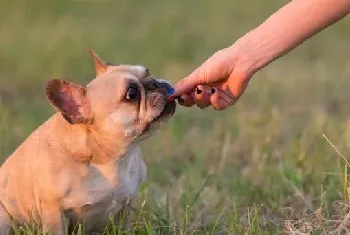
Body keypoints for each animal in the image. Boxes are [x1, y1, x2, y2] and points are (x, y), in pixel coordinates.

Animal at [0, 50, 175, 234]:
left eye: (148, 72)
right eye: (131, 94)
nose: (156, 83)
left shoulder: (126, 206)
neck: (112, 159)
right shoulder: (54, 212)